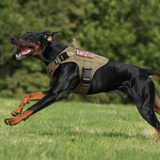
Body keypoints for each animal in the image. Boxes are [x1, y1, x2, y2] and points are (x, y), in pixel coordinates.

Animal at [5, 31, 160, 141]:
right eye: (23, 34)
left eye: (30, 36)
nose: (12, 38)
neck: (59, 55)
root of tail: (145, 71)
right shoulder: (55, 90)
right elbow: (29, 95)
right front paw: (16, 110)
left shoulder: (56, 93)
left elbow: (32, 109)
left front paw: (13, 120)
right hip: (153, 104)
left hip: (144, 107)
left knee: (158, 126)